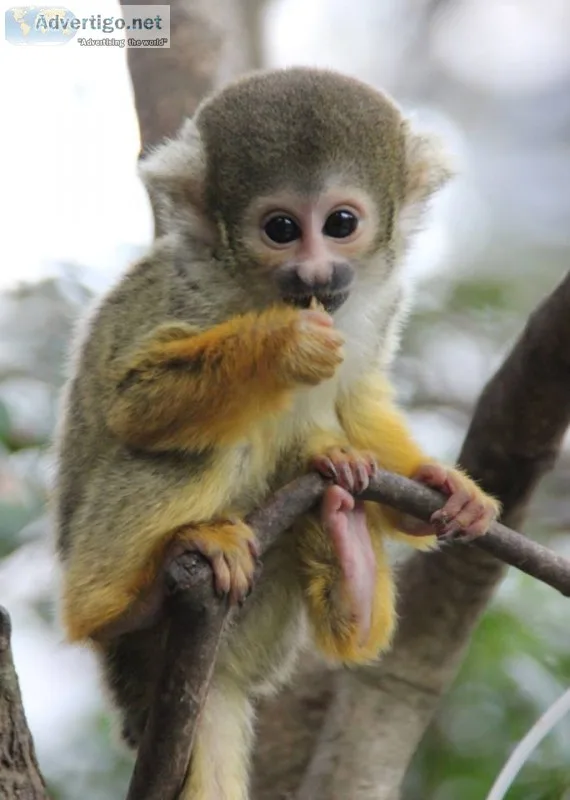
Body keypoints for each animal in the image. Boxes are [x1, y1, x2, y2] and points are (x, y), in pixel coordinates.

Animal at [52, 67, 500, 800]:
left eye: (341, 224)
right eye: (281, 229)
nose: (316, 274)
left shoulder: (382, 300)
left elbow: (360, 395)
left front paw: (438, 485)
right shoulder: (187, 289)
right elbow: (134, 403)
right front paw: (285, 347)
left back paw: (351, 572)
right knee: (203, 445)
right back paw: (124, 602)